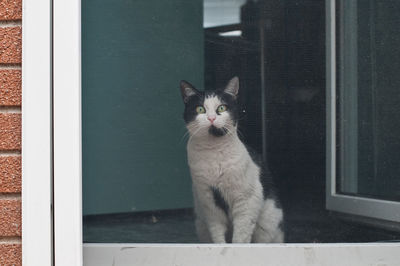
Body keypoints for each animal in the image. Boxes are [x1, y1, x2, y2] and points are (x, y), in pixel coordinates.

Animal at [180, 77, 282, 243]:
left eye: (221, 108)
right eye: (200, 109)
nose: (211, 118)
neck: (214, 152)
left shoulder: (246, 199)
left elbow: (241, 235)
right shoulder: (209, 200)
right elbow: (217, 233)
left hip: (267, 224)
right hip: (201, 224)